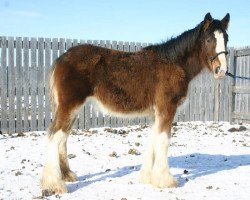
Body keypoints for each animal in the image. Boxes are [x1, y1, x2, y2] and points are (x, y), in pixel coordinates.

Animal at [41, 12, 230, 195]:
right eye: (208, 39)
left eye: (226, 38)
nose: (221, 70)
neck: (175, 64)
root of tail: (61, 59)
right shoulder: (167, 108)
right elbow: (164, 140)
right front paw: (165, 180)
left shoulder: (156, 113)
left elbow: (153, 138)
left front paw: (147, 177)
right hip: (69, 106)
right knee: (54, 135)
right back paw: (54, 184)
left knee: (63, 136)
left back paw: (67, 175)